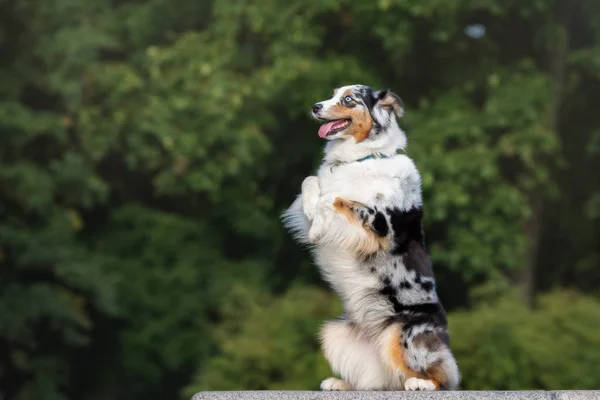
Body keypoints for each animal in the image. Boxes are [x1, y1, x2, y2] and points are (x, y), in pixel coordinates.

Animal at [280, 83, 460, 390]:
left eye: (348, 99)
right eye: (332, 94)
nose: (316, 106)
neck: (361, 158)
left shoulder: (379, 224)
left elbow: (333, 197)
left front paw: (318, 225)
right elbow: (311, 182)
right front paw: (313, 218)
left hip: (403, 333)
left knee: (442, 375)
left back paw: (421, 384)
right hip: (335, 331)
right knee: (379, 382)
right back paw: (340, 384)